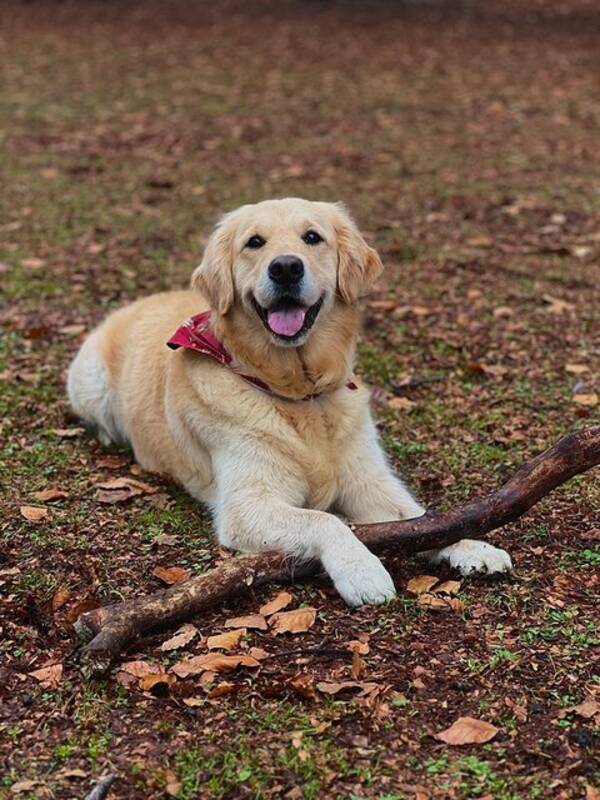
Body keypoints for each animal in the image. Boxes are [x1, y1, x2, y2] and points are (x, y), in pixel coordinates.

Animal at [69, 197, 510, 604]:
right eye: (254, 242)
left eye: (312, 237)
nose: (284, 268)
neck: (300, 392)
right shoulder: (248, 504)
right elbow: (323, 520)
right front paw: (362, 570)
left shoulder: (368, 480)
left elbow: (425, 518)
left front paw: (472, 547)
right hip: (89, 382)